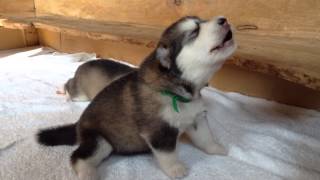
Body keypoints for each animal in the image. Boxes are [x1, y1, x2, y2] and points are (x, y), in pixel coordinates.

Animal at [38, 16, 238, 179]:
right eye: (194, 32)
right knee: (77, 157)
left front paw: (216, 148)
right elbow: (168, 154)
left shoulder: (196, 118)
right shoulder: (158, 131)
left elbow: (206, 138)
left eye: (202, 21)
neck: (181, 91)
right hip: (100, 141)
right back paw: (89, 174)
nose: (224, 20)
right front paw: (176, 169)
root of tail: (78, 124)